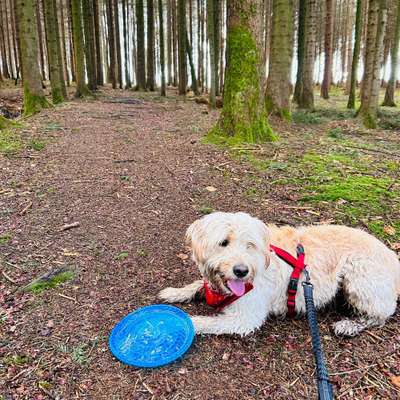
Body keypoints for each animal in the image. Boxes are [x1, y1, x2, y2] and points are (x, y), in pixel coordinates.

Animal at [159, 211, 400, 336]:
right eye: (223, 242)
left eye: (250, 245)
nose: (241, 271)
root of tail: (393, 257)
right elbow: (196, 284)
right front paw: (175, 292)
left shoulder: (245, 318)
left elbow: (198, 321)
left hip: (359, 277)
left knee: (380, 315)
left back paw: (349, 325)